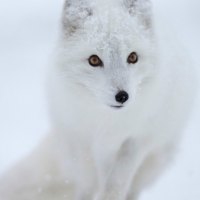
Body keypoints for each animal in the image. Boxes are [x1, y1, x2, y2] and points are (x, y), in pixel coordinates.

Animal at [0, 0, 197, 200]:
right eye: (94, 60)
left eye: (133, 57)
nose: (122, 96)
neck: (107, 120)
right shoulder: (83, 140)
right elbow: (89, 184)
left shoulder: (137, 140)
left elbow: (116, 182)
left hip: (157, 159)